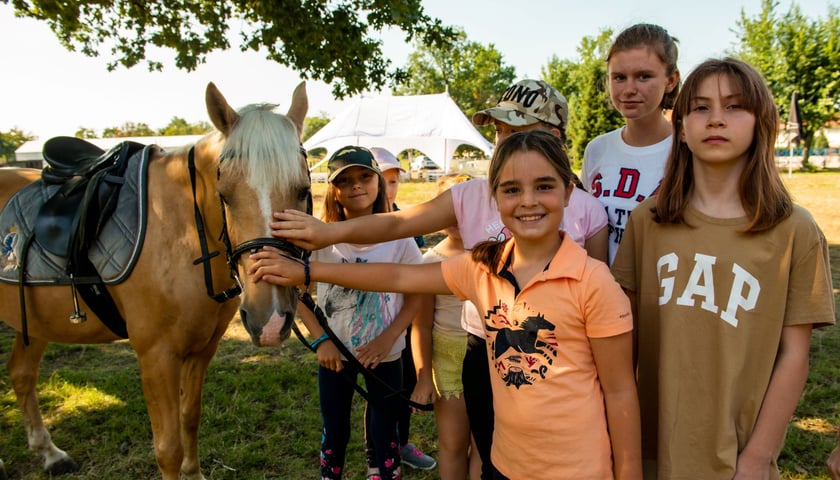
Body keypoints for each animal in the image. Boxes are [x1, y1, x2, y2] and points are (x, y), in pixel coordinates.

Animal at [0, 80, 312, 478]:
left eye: (303, 191)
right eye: (224, 195)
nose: (269, 321)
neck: (181, 233)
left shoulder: (203, 348)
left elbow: (190, 417)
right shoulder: (156, 356)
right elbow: (168, 448)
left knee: (21, 373)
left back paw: (50, 453)